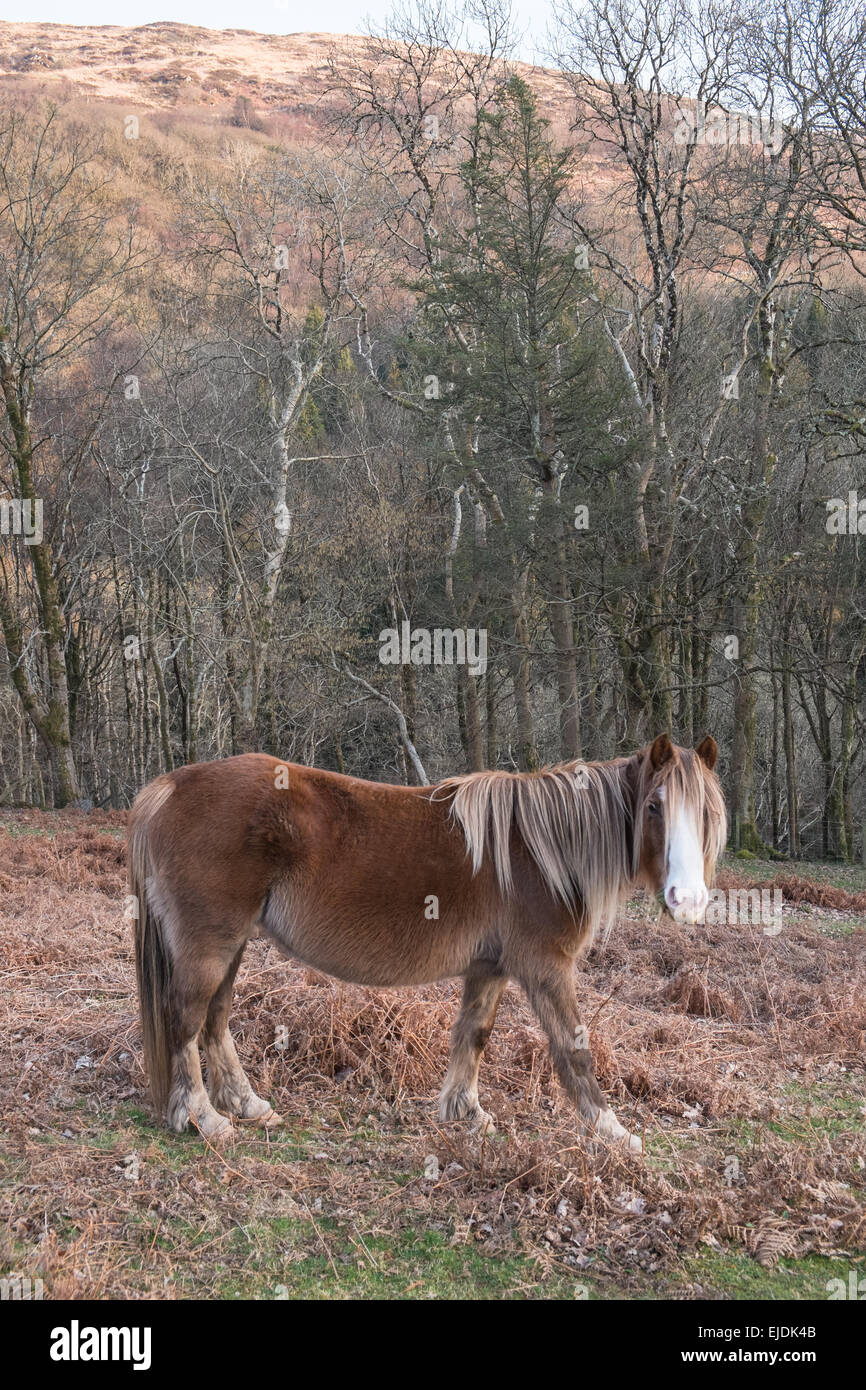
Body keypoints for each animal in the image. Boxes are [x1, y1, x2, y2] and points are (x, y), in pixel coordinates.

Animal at [128, 733, 726, 1152]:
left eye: (706, 814)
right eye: (653, 806)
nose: (689, 900)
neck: (545, 853)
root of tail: (170, 786)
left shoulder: (489, 967)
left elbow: (473, 1036)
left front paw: (466, 1113)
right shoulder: (546, 968)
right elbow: (574, 1047)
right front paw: (612, 1131)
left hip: (231, 945)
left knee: (215, 1019)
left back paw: (246, 1105)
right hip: (210, 944)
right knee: (185, 1020)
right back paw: (203, 1118)